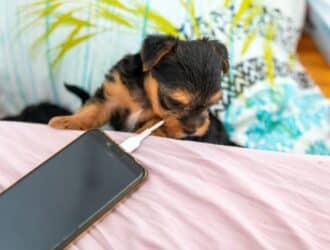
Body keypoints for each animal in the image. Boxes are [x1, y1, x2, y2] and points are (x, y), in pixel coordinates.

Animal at [49, 35, 231, 145]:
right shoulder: (114, 93)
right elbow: (93, 109)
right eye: (173, 101)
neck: (146, 94)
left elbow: (155, 125)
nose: (193, 130)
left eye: (211, 104)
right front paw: (69, 121)